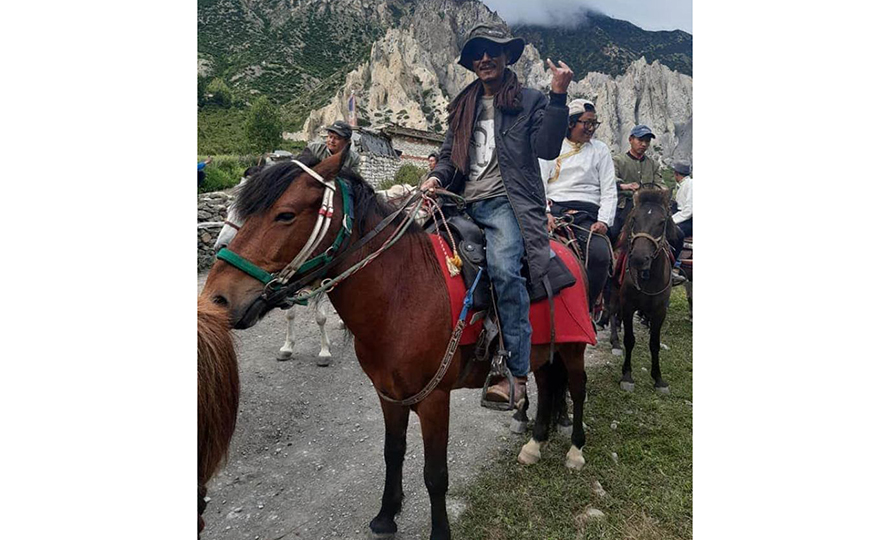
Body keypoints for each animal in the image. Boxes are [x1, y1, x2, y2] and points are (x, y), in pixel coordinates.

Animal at [200, 150, 592, 540]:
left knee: (577, 387)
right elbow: (393, 452)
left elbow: (435, 475)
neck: (403, 292)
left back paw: (575, 451)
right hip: (544, 354)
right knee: (547, 386)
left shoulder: (434, 400)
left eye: (286, 214)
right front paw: (386, 515)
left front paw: (439, 532)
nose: (218, 300)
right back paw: (535, 445)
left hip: (573, 350)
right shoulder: (389, 394)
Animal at [608, 187, 678, 394]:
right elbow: (629, 339)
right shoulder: (628, 305)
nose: (639, 258)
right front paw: (627, 376)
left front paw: (658, 379)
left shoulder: (660, 311)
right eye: (634, 219)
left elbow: (654, 343)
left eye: (662, 222)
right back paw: (615, 341)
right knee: (612, 312)